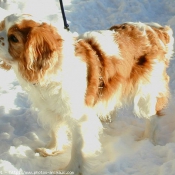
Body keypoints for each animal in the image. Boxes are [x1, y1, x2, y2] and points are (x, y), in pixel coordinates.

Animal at [0, 14, 174, 175]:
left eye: (13, 38)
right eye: (0, 26)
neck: (53, 67)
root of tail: (156, 30)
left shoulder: (79, 118)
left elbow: (78, 148)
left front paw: (71, 170)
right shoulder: (51, 109)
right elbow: (56, 131)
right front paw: (52, 149)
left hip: (148, 92)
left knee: (153, 117)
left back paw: (146, 139)